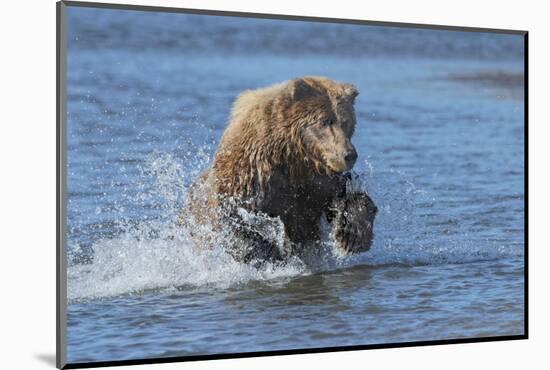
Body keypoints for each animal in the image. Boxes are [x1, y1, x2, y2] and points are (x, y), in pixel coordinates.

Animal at [179, 76, 378, 264]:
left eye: (346, 122)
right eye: (324, 122)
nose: (348, 155)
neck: (292, 158)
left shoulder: (315, 185)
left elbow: (344, 201)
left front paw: (353, 236)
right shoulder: (250, 178)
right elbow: (237, 221)